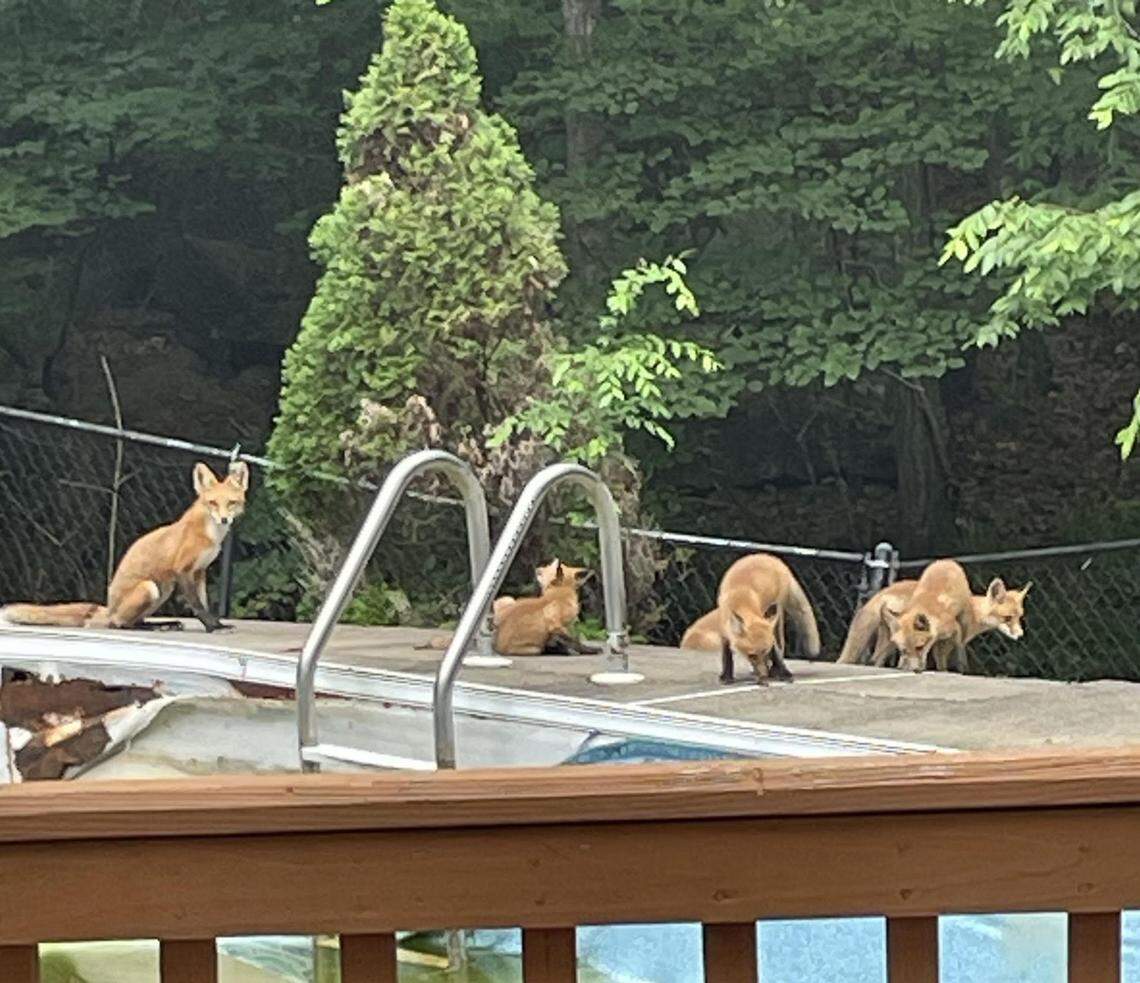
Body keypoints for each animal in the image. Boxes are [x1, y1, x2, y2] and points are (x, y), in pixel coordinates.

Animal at [1, 461, 248, 633]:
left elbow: (205, 603)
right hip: (150, 587)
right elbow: (198, 606)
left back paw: (164, 623)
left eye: (231, 503)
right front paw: (213, 627)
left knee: (134, 620)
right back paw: (152, 626)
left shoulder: (199, 572)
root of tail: (109, 608)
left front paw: (216, 624)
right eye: (212, 503)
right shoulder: (183, 570)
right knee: (121, 624)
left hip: (164, 590)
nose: (224, 519)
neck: (210, 535)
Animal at [716, 553, 821, 686]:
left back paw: (775, 670)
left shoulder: (767, 627)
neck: (740, 598)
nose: (764, 676)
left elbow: (775, 652)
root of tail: (770, 557)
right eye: (752, 656)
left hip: (777, 615)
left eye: (765, 652)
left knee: (780, 646)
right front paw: (726, 676)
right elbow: (726, 655)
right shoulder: (723, 629)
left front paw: (784, 674)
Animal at [837, 575, 1031, 670]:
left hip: (889, 639)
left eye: (1019, 617)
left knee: (873, 660)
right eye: (1008, 618)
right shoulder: (944, 645)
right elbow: (949, 667)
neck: (972, 611)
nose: (1021, 635)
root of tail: (884, 591)